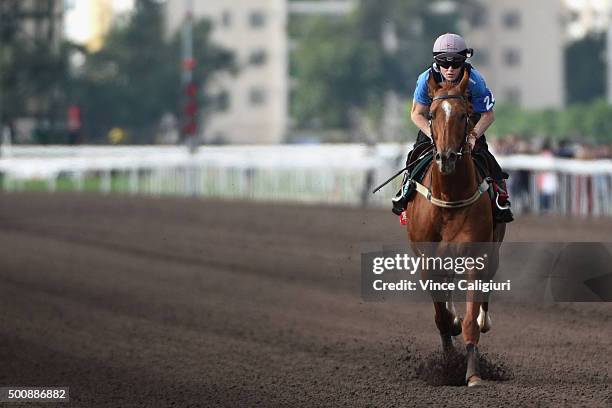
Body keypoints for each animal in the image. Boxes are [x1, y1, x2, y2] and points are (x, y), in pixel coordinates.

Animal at [408, 69, 504, 386]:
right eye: (433, 113)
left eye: (464, 115)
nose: (447, 157)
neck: (450, 199)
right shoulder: (427, 260)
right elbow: (441, 317)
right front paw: (448, 362)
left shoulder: (476, 255)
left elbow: (470, 320)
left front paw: (473, 374)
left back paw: (483, 320)